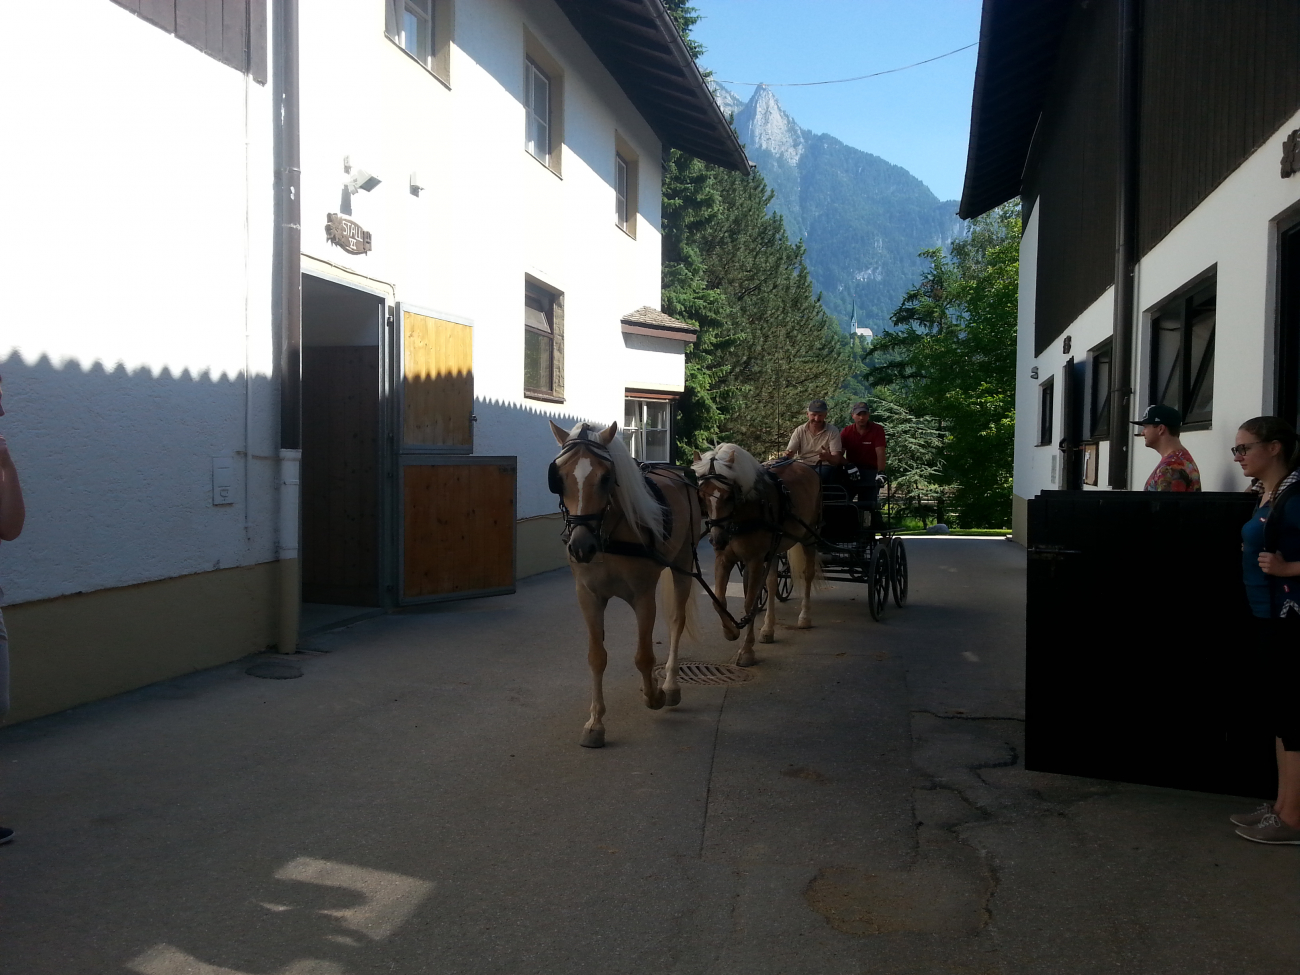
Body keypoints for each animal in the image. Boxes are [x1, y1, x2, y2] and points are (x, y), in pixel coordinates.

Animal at [546, 418, 702, 748]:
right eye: (558, 478)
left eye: (606, 477)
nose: (581, 547)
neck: (607, 536)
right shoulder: (588, 596)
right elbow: (596, 657)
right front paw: (595, 723)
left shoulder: (643, 595)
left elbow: (644, 656)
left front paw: (654, 695)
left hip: (683, 564)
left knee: (676, 621)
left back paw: (670, 686)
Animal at [696, 444, 816, 670]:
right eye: (702, 496)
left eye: (729, 496)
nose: (717, 540)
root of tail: (805, 465)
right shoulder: (724, 559)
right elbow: (719, 601)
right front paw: (731, 631)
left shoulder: (754, 561)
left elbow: (749, 603)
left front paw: (746, 651)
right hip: (776, 548)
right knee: (772, 582)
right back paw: (768, 628)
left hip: (809, 537)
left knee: (808, 575)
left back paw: (805, 617)